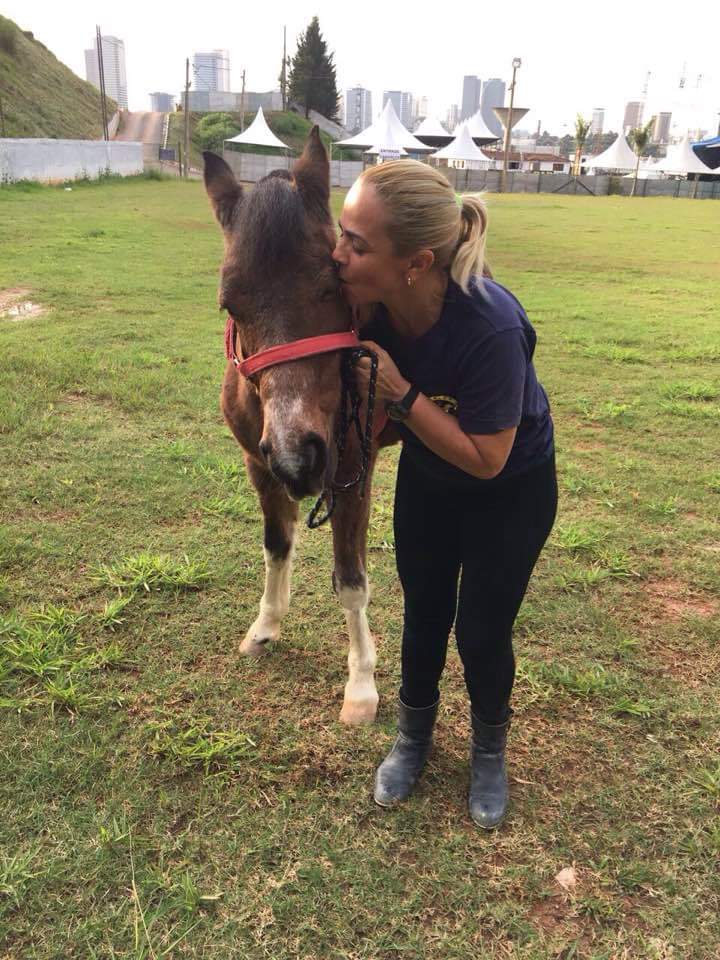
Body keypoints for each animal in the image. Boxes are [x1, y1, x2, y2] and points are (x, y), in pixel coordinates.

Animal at [203, 128, 391, 725]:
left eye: (333, 285)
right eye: (229, 304)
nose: (298, 456)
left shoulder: (352, 477)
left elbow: (351, 582)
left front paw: (361, 686)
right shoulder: (260, 467)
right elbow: (276, 545)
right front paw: (265, 627)